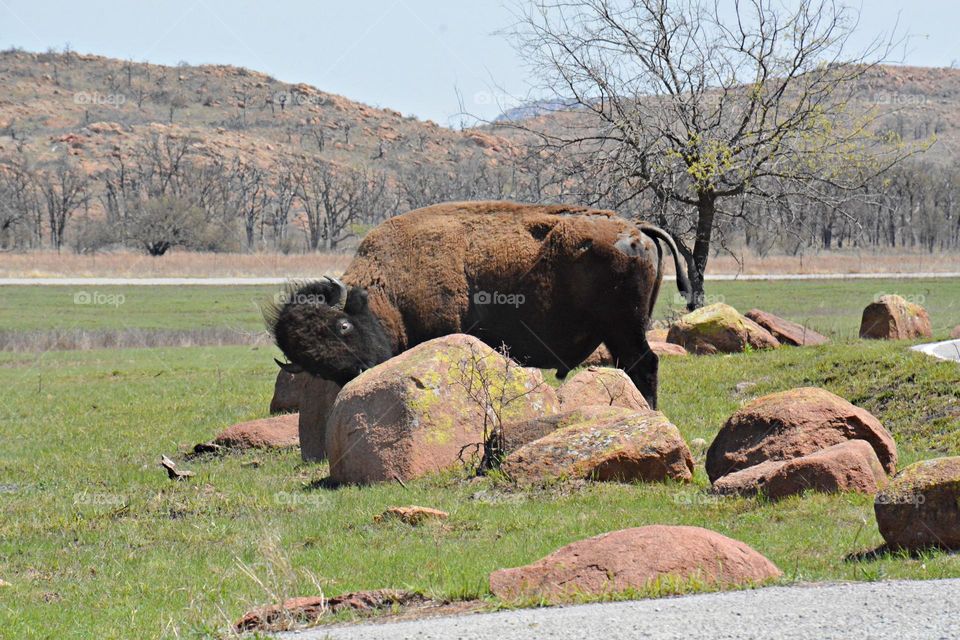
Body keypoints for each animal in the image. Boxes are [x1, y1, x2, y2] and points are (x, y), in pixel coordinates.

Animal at [268, 201, 688, 410]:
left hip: (625, 328)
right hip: (619, 331)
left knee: (644, 364)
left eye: (343, 326)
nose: (357, 373)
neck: (388, 288)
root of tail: (634, 228)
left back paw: (650, 411)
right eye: (315, 366)